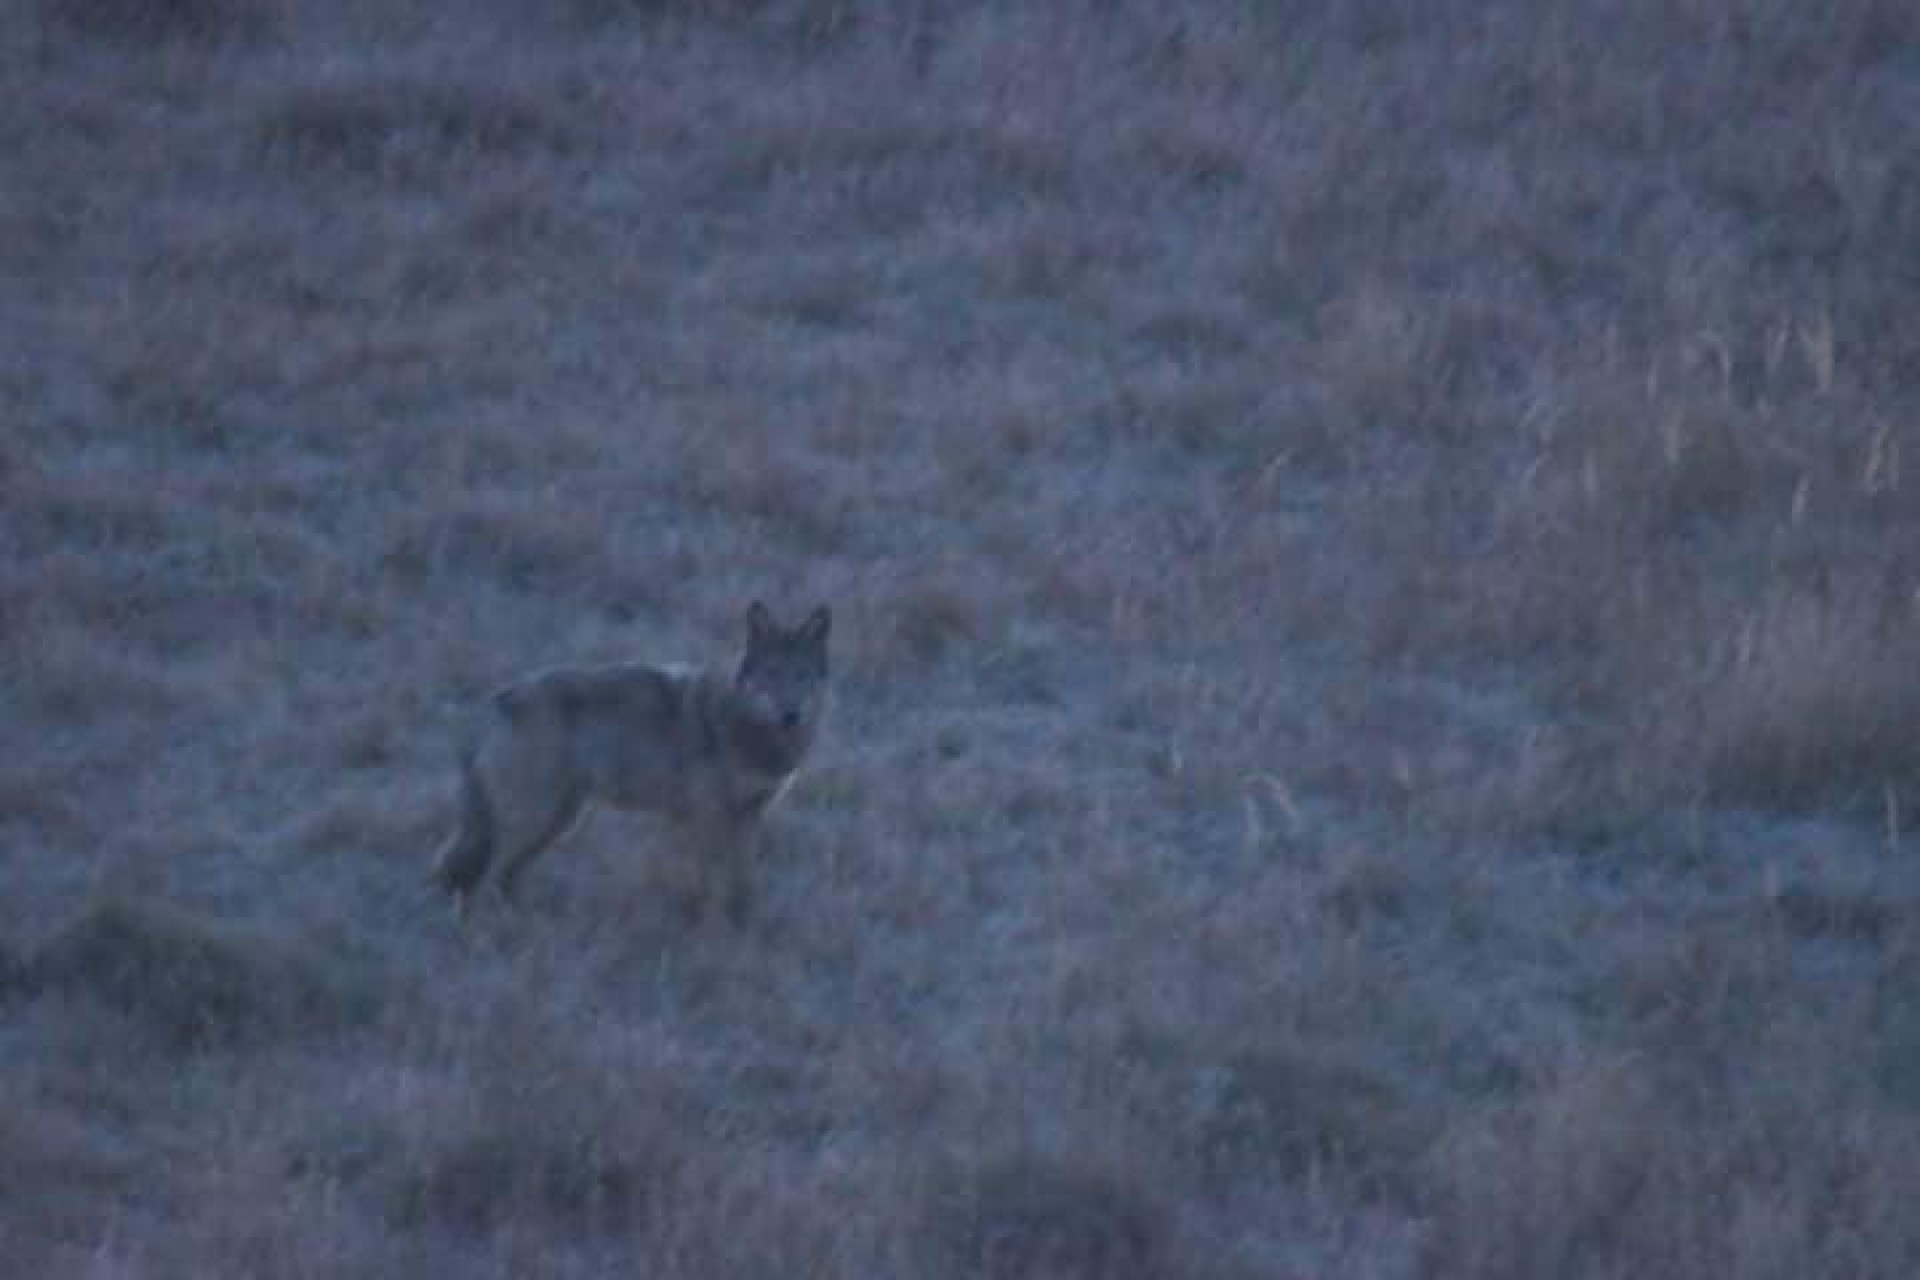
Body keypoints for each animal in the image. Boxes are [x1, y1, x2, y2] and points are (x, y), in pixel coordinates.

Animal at [435, 602, 833, 917]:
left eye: (802, 676)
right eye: (772, 675)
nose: (790, 713)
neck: (748, 729)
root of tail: (496, 701)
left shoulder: (749, 816)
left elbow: (743, 883)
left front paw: (744, 923)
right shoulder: (709, 816)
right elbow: (712, 881)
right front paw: (713, 926)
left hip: (558, 822)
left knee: (502, 877)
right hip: (536, 820)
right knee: (488, 879)